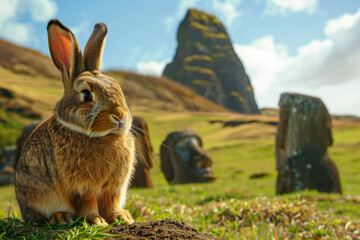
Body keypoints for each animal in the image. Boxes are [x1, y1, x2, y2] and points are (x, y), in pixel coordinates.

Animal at [13, 19, 135, 226]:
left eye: (118, 89)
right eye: (86, 95)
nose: (119, 116)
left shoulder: (114, 187)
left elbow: (111, 202)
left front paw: (122, 218)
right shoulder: (81, 187)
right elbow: (87, 203)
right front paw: (97, 221)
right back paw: (61, 217)